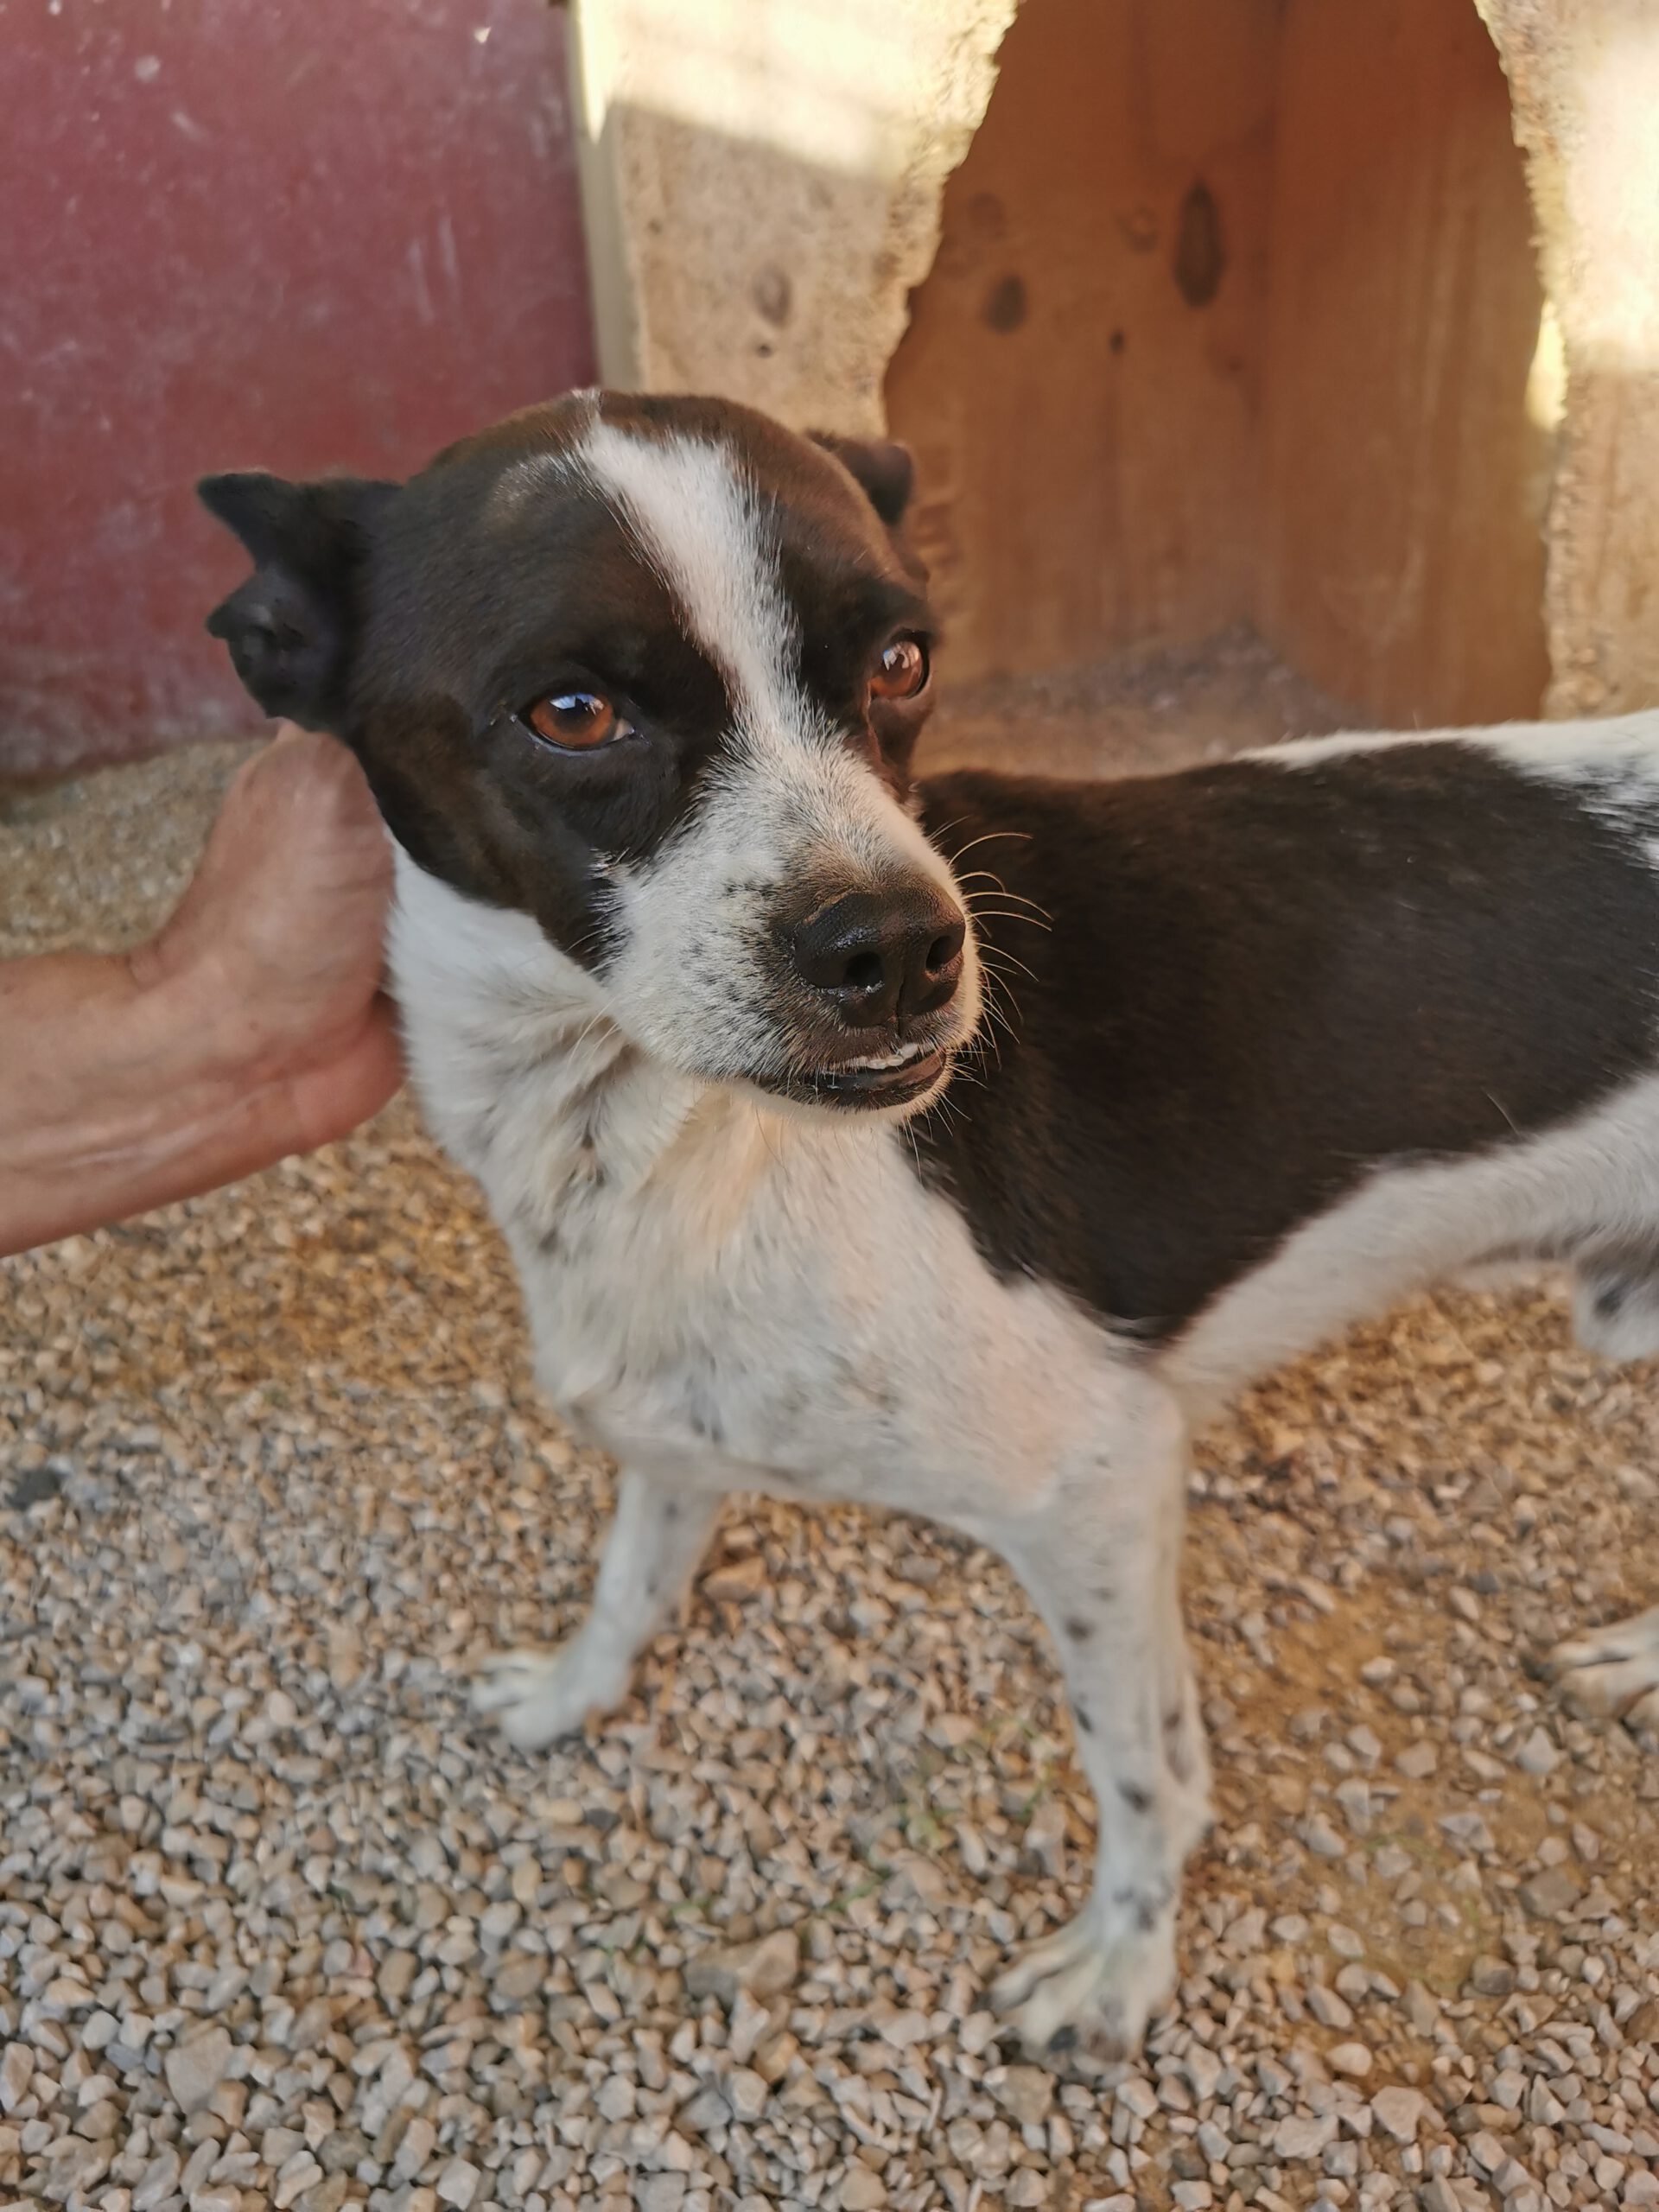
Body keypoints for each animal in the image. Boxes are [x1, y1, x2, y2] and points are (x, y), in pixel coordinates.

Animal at [201, 388, 1659, 2056]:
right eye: (572, 711)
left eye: (902, 661)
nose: (901, 951)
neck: (664, 1139)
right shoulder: (668, 1420)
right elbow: (634, 1572)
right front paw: (574, 1695)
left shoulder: (1100, 1483)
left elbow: (1144, 1766)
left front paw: (1122, 1966)